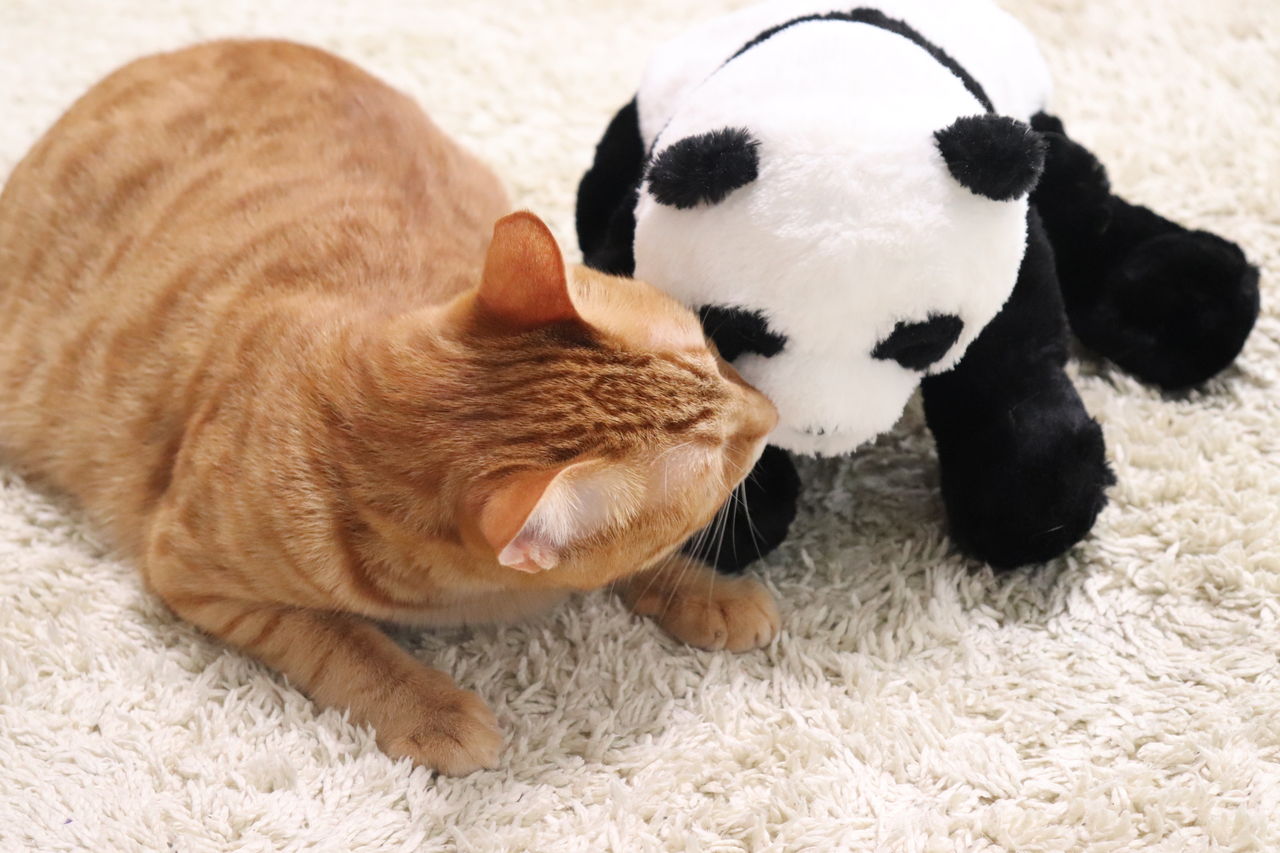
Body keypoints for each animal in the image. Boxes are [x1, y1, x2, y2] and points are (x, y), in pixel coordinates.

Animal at [0, 39, 780, 775]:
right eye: (721, 461)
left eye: (711, 351)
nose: (770, 413)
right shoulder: (192, 572)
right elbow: (338, 642)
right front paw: (430, 708)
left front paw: (709, 594)